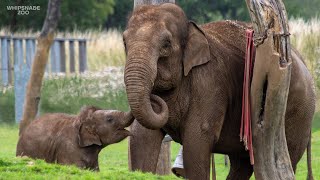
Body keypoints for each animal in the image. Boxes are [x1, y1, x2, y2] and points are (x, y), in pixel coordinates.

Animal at [123, 3, 316, 180]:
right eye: (124, 42)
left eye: (166, 44)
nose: (155, 98)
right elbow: (142, 138)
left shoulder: (209, 83)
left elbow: (196, 141)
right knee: (241, 164)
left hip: (297, 112)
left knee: (287, 157)